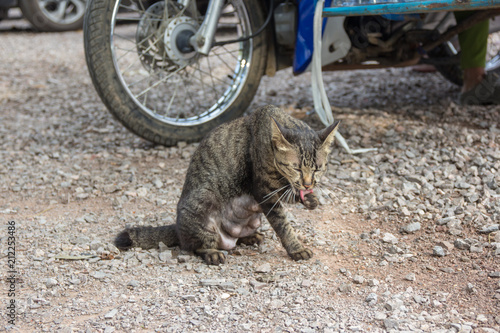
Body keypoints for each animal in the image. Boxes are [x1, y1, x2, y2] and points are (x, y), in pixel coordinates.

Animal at [115, 105, 338, 264]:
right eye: (297, 168)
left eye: (318, 168)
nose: (308, 184)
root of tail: (177, 227)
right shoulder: (264, 191)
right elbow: (283, 224)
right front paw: (296, 248)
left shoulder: (279, 190)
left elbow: (293, 195)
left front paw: (310, 199)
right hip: (204, 201)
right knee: (193, 246)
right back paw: (212, 253)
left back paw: (250, 238)